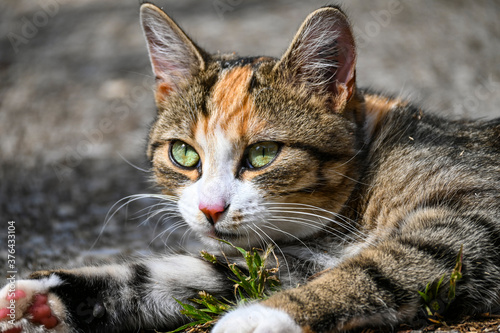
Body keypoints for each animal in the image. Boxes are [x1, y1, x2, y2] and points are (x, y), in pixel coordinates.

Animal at [0, 3, 500, 332]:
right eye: (184, 154)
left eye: (263, 154)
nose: (210, 209)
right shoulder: (278, 261)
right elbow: (175, 276)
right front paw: (43, 297)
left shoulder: (474, 219)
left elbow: (383, 264)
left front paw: (257, 318)